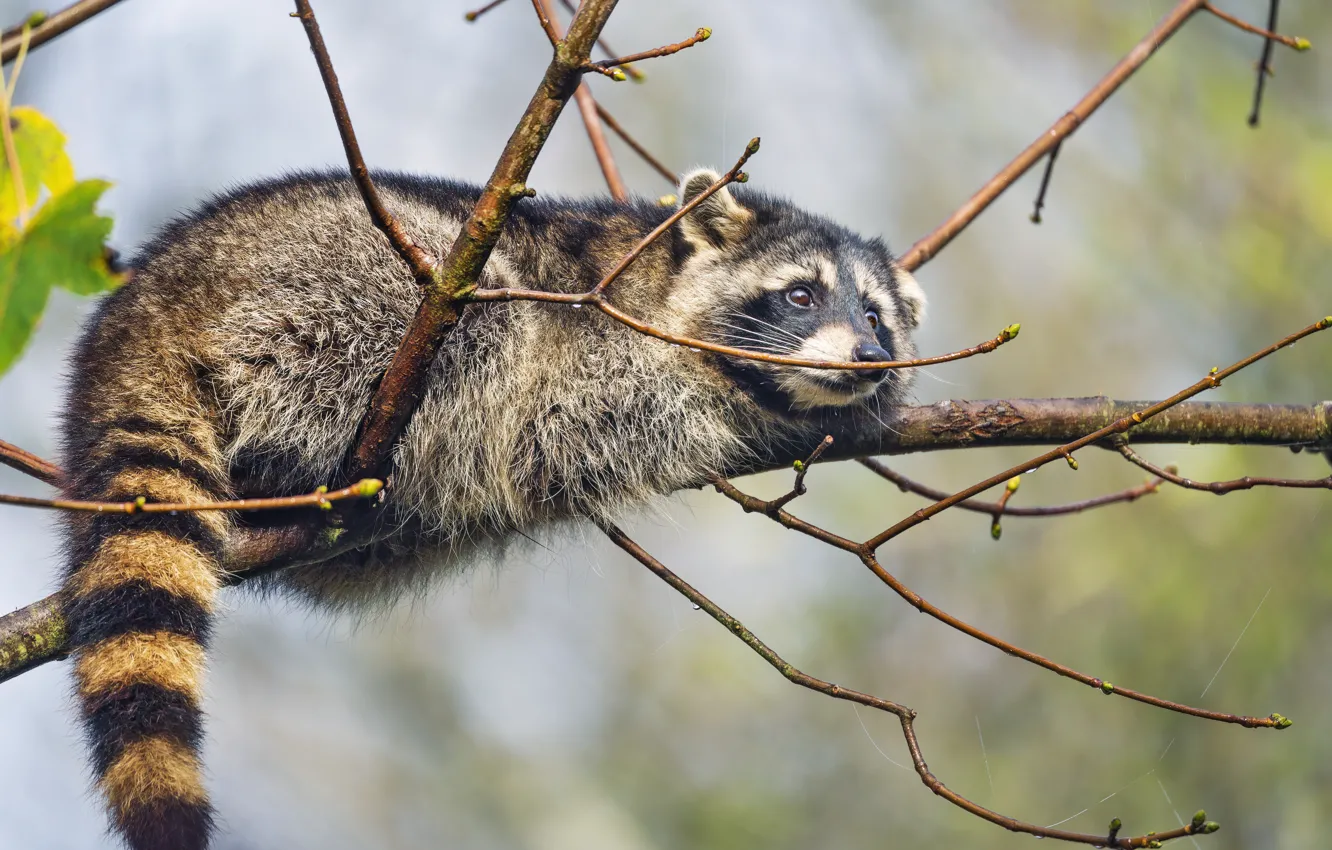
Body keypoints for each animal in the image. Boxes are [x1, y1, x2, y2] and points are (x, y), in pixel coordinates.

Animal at [58, 167, 925, 849]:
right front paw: (755, 413)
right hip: (347, 288)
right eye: (800, 295)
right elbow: (596, 415)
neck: (655, 271)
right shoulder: (597, 341)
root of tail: (149, 302)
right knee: (480, 318)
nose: (870, 356)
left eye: (876, 315)